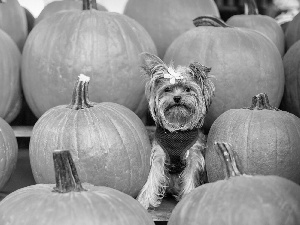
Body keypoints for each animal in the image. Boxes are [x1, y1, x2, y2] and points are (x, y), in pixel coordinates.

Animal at [137, 52, 214, 209]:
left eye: (188, 89)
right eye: (167, 89)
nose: (177, 97)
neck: (177, 129)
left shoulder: (193, 156)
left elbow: (190, 177)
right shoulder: (159, 154)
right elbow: (153, 176)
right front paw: (145, 200)